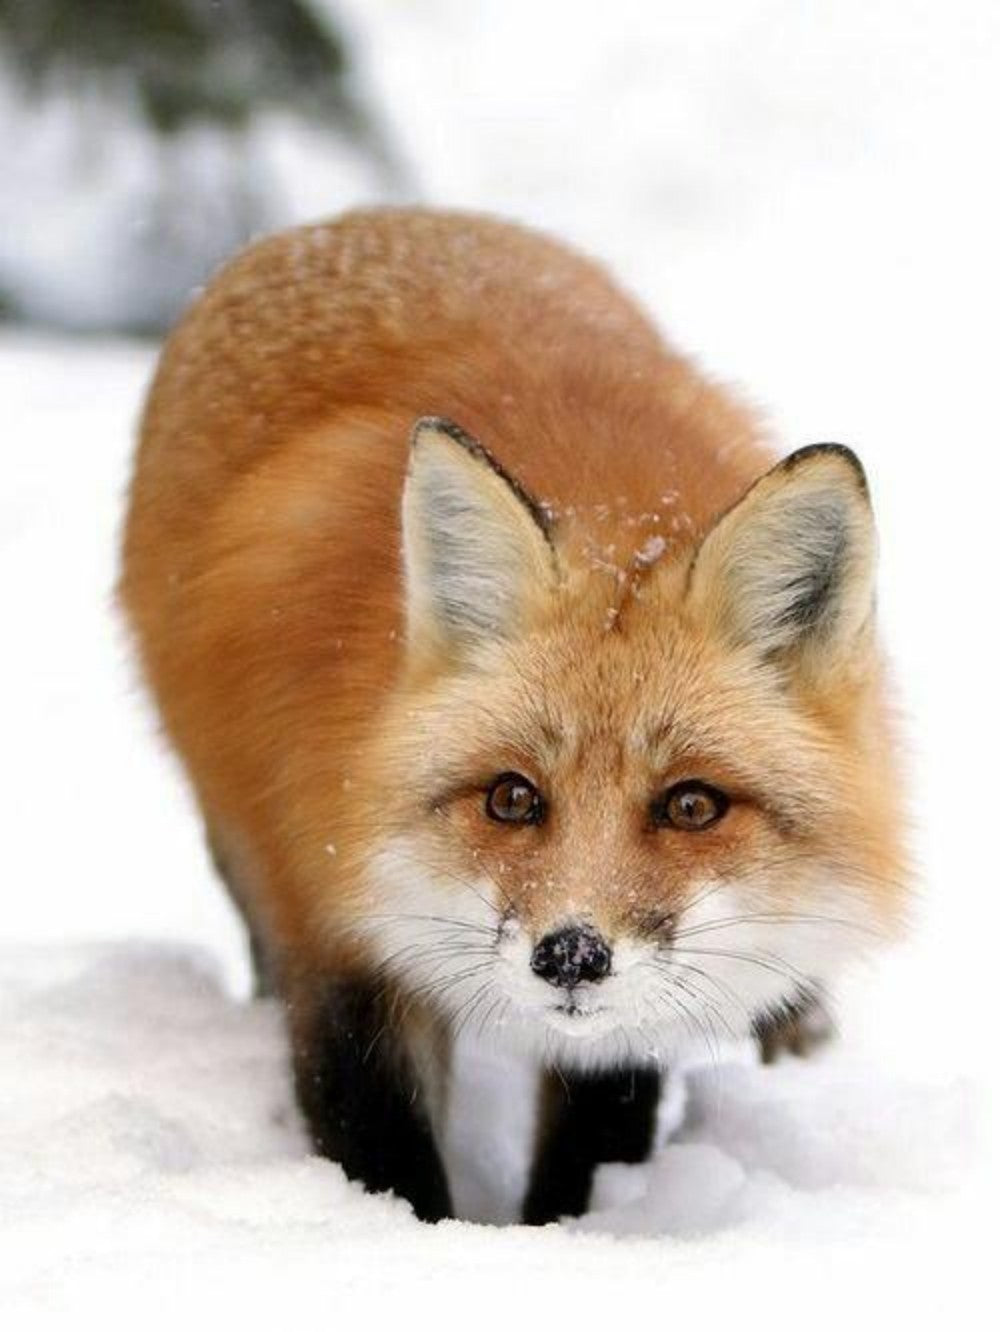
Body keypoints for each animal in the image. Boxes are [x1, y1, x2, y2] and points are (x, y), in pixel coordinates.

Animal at [120, 207, 907, 1224]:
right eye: (511, 798)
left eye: (692, 805)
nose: (570, 955)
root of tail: (362, 221)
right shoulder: (330, 922)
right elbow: (379, 1145)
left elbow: (599, 1136)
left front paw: (564, 1235)